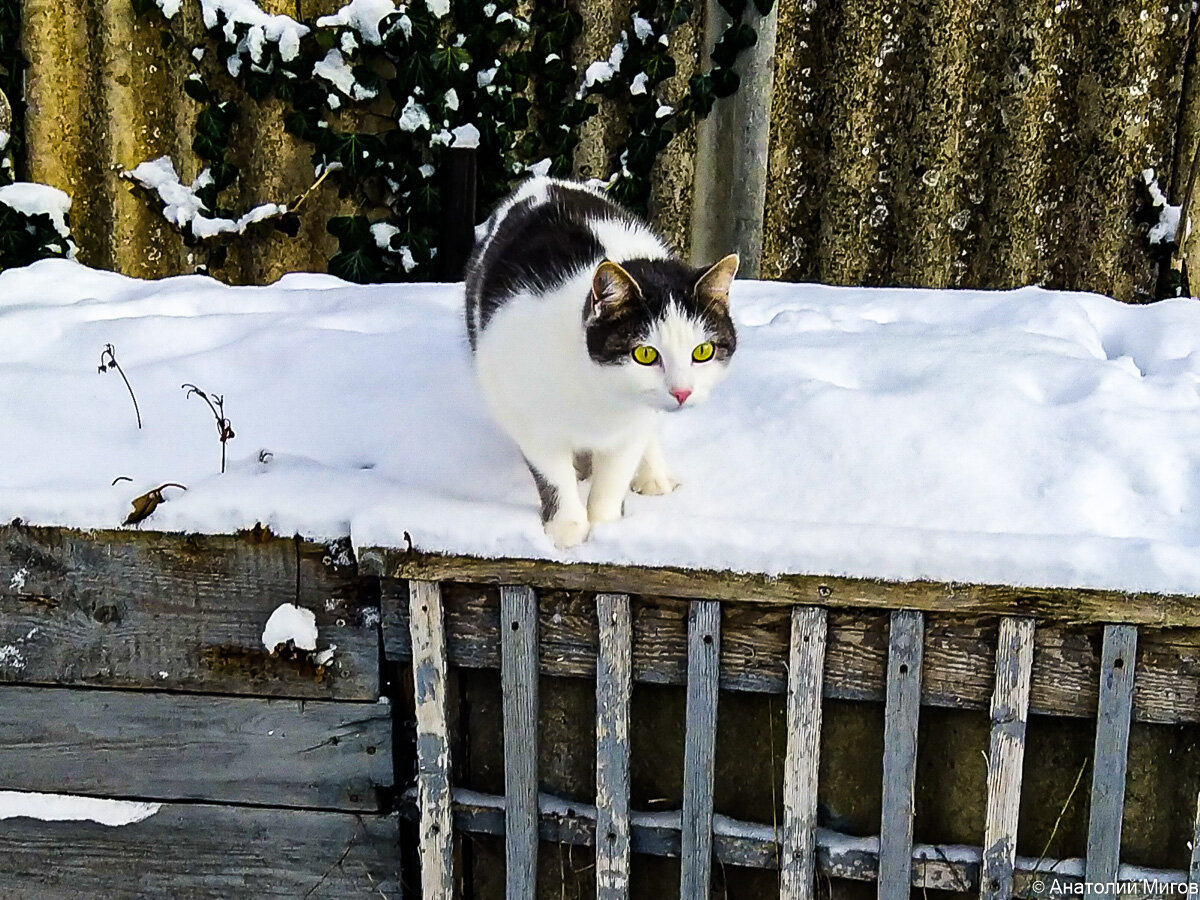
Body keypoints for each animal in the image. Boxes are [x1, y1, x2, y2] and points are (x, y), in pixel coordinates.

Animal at [463, 176, 734, 549]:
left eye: (703, 352)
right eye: (645, 354)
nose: (682, 392)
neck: (600, 394)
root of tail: (547, 180)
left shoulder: (630, 430)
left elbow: (614, 477)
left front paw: (607, 527)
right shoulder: (528, 415)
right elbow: (553, 474)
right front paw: (566, 529)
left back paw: (653, 476)